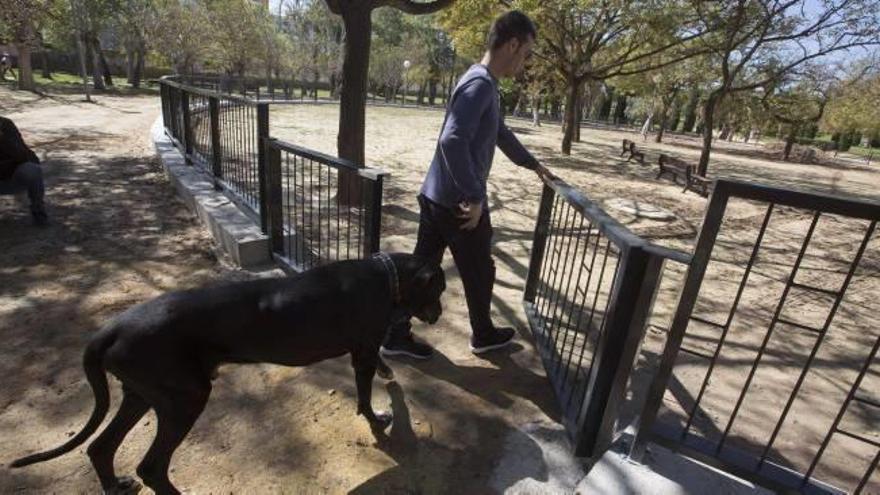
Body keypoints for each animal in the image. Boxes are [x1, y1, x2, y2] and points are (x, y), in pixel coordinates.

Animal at [10, 254, 444, 494]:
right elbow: (366, 397)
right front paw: (378, 418)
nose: (440, 314)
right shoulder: (363, 351)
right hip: (185, 398)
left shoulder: (364, 349)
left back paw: (115, 487)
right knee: (151, 466)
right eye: (439, 288)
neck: (387, 273)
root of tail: (111, 328)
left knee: (101, 447)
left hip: (142, 394)